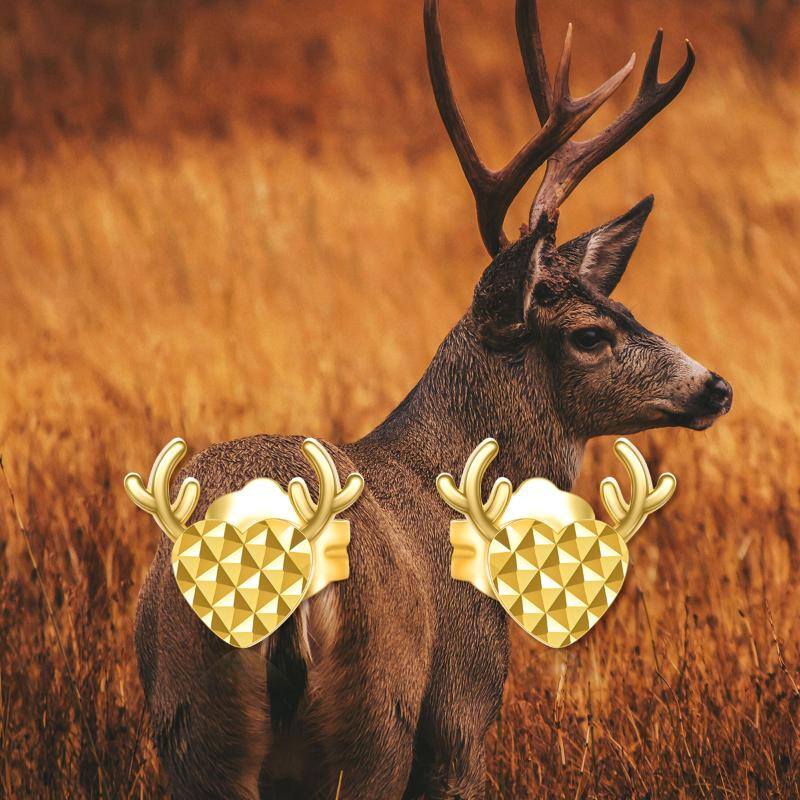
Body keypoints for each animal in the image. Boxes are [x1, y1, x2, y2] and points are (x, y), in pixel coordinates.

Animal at [132, 1, 733, 797]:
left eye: (624, 304)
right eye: (589, 333)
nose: (715, 387)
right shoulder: (462, 709)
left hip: (190, 718)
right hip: (378, 712)